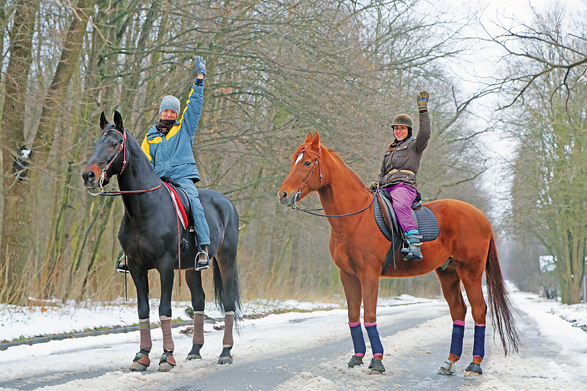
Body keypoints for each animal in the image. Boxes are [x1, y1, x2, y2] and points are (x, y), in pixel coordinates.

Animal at [81, 111, 240, 374]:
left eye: (114, 143)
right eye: (95, 143)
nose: (88, 175)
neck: (145, 208)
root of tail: (226, 203)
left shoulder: (165, 266)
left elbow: (164, 309)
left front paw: (167, 356)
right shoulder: (137, 268)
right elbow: (143, 310)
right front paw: (142, 356)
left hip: (226, 259)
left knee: (228, 302)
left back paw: (226, 353)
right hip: (191, 268)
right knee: (199, 301)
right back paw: (194, 351)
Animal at [278, 132, 520, 376]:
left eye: (307, 163)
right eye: (293, 160)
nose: (283, 195)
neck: (354, 217)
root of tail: (480, 215)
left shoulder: (369, 274)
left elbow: (370, 315)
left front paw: (377, 360)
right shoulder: (348, 276)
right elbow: (353, 315)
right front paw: (357, 357)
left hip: (470, 271)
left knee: (479, 310)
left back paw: (475, 364)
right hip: (448, 272)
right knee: (458, 311)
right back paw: (449, 361)